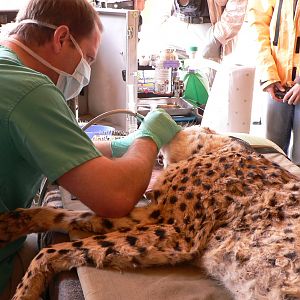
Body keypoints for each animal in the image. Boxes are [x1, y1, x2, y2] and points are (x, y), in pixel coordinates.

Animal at [0, 125, 300, 298]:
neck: (218, 148)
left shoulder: (177, 234)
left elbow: (57, 248)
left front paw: (25, 290)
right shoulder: (154, 217)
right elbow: (74, 218)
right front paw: (13, 222)